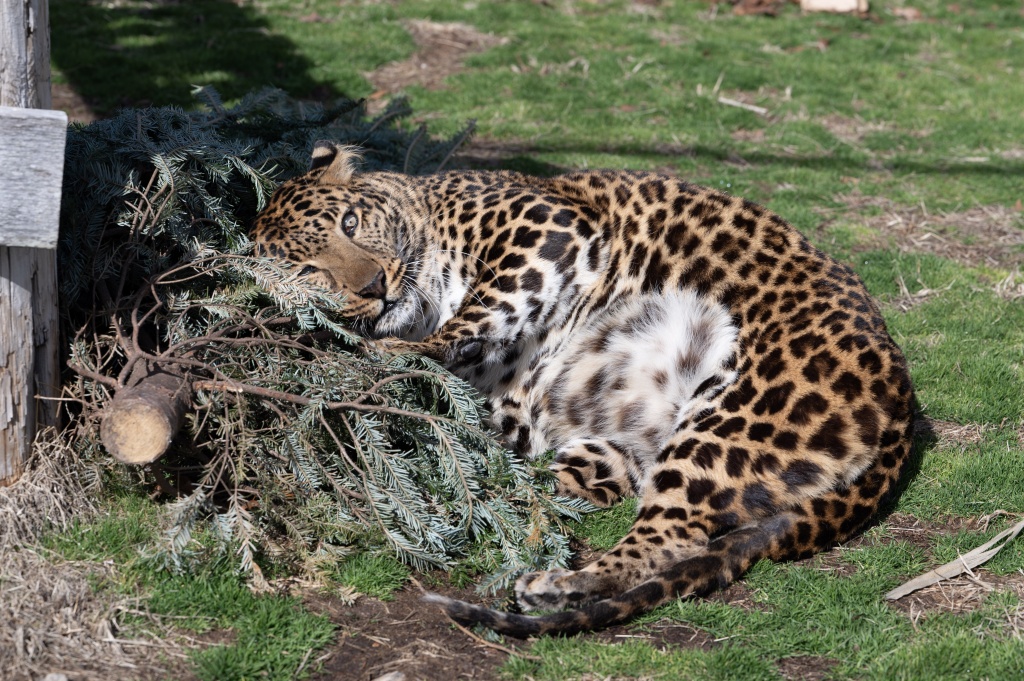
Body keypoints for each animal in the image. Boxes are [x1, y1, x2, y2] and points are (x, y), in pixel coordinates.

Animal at [251, 142, 917, 639]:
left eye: (351, 223)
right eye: (308, 270)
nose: (375, 288)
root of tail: (903, 407)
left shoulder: (545, 226)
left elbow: (483, 303)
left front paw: (391, 351)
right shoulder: (510, 410)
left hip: (724, 424)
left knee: (672, 538)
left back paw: (552, 583)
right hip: (621, 449)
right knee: (582, 495)